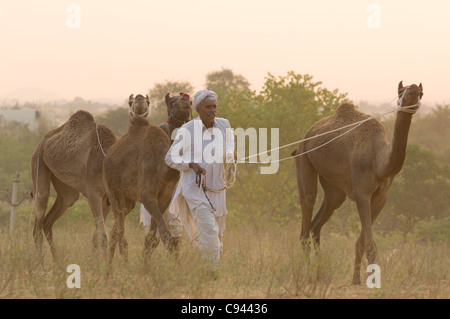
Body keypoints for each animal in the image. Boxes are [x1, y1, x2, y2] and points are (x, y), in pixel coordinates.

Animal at [30, 94, 149, 258]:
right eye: (130, 102)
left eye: (148, 101)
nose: (139, 98)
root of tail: (43, 140)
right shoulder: (95, 193)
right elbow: (104, 235)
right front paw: (103, 263)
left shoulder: (110, 199)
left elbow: (110, 236)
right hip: (39, 162)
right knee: (39, 216)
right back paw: (40, 263)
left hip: (66, 189)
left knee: (51, 218)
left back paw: (58, 262)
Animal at [102, 92, 192, 262]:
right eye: (171, 102)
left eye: (190, 101)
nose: (185, 102)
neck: (163, 168)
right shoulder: (146, 195)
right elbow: (165, 235)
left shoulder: (165, 197)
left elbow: (152, 239)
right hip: (113, 191)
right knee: (119, 230)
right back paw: (115, 266)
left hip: (128, 200)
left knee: (115, 230)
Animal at [294, 81, 424, 284]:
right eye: (400, 91)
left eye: (421, 92)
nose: (412, 90)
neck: (380, 162)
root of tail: (307, 135)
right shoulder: (362, 193)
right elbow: (370, 244)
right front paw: (372, 281)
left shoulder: (380, 198)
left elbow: (361, 241)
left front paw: (356, 279)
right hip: (304, 156)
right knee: (307, 204)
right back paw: (308, 276)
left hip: (333, 187)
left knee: (319, 221)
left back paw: (320, 274)